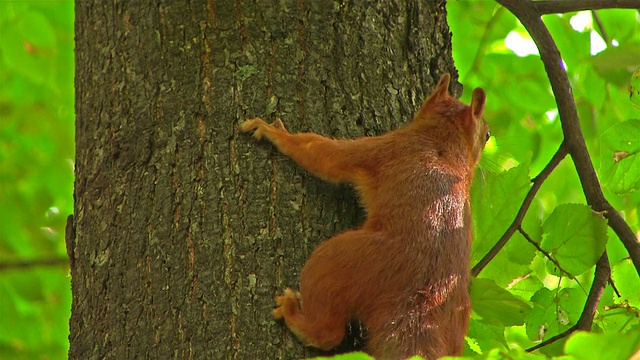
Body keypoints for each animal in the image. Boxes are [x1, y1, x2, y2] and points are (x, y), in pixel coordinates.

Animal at [241, 74, 490, 360]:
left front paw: (275, 133)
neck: (444, 140)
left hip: (343, 261)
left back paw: (295, 315)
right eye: (487, 135)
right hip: (456, 323)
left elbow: (325, 155)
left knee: (328, 330)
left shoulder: (380, 148)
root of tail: (422, 296)